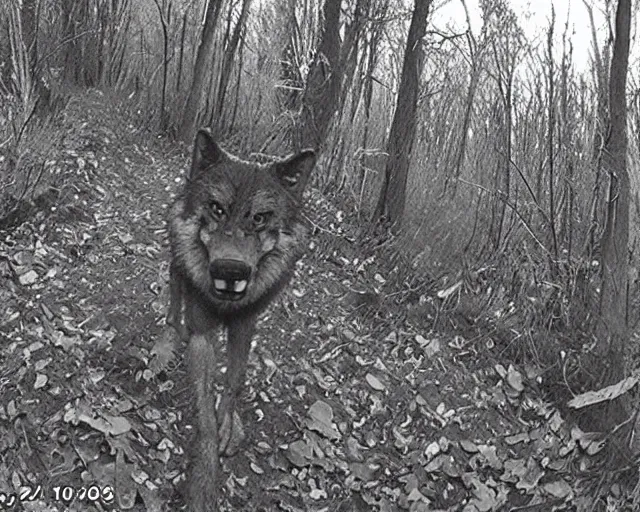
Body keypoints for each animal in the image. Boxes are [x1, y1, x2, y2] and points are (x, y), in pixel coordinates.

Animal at [165, 128, 316, 508]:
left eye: (259, 218)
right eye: (217, 209)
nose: (229, 270)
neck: (226, 306)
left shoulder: (245, 325)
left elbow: (234, 381)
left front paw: (228, 424)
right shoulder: (203, 334)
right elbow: (203, 414)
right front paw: (204, 481)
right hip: (176, 260)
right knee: (175, 289)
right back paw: (171, 332)